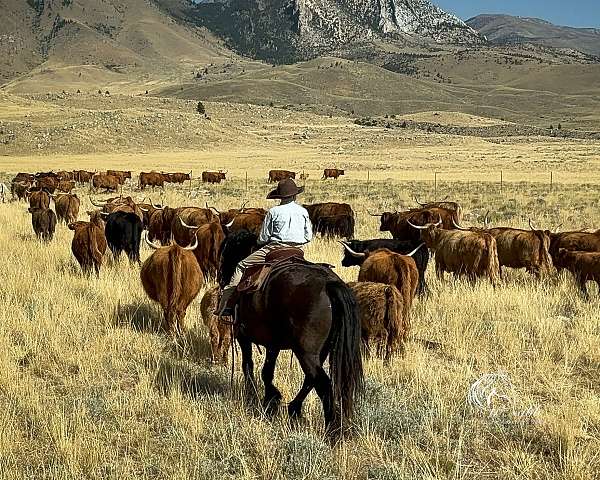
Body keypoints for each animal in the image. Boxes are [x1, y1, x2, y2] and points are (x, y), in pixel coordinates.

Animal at [218, 231, 364, 436]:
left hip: (306, 352)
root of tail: (329, 284)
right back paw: (295, 409)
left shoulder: (243, 335)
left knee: (323, 384)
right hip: (319, 351)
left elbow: (249, 366)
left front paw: (256, 397)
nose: (220, 277)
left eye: (226, 252)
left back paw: (331, 432)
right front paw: (271, 400)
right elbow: (267, 371)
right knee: (311, 380)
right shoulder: (273, 344)